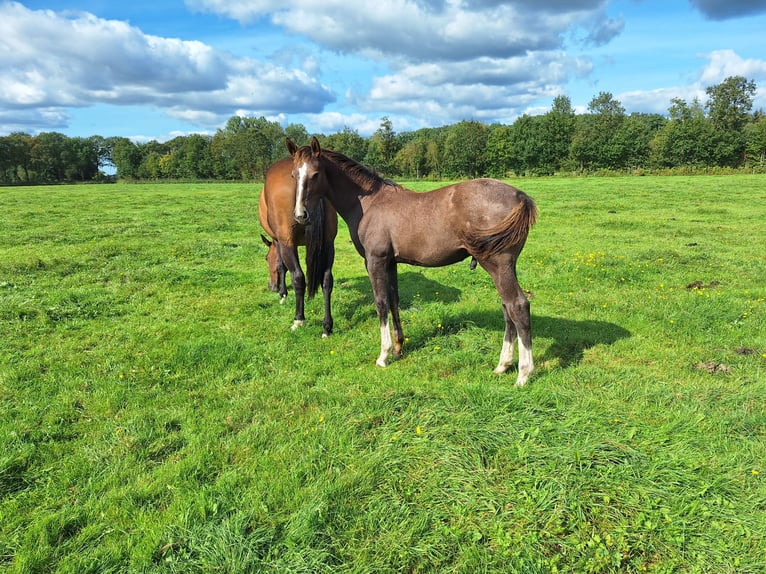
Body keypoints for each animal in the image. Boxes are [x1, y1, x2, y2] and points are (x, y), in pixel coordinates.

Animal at [260, 155, 338, 340]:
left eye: (266, 259)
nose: (271, 287)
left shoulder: (280, 241)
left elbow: (282, 267)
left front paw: (282, 294)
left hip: (288, 243)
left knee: (298, 277)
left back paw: (299, 319)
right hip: (328, 244)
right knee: (327, 280)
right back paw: (327, 327)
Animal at [288, 137, 540, 388]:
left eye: (315, 174)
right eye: (293, 175)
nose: (300, 216)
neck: (370, 203)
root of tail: (520, 196)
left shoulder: (375, 261)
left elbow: (381, 303)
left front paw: (383, 355)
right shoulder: (391, 263)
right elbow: (394, 301)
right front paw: (398, 347)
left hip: (497, 265)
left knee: (517, 306)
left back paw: (523, 373)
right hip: (504, 267)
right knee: (507, 308)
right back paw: (502, 365)